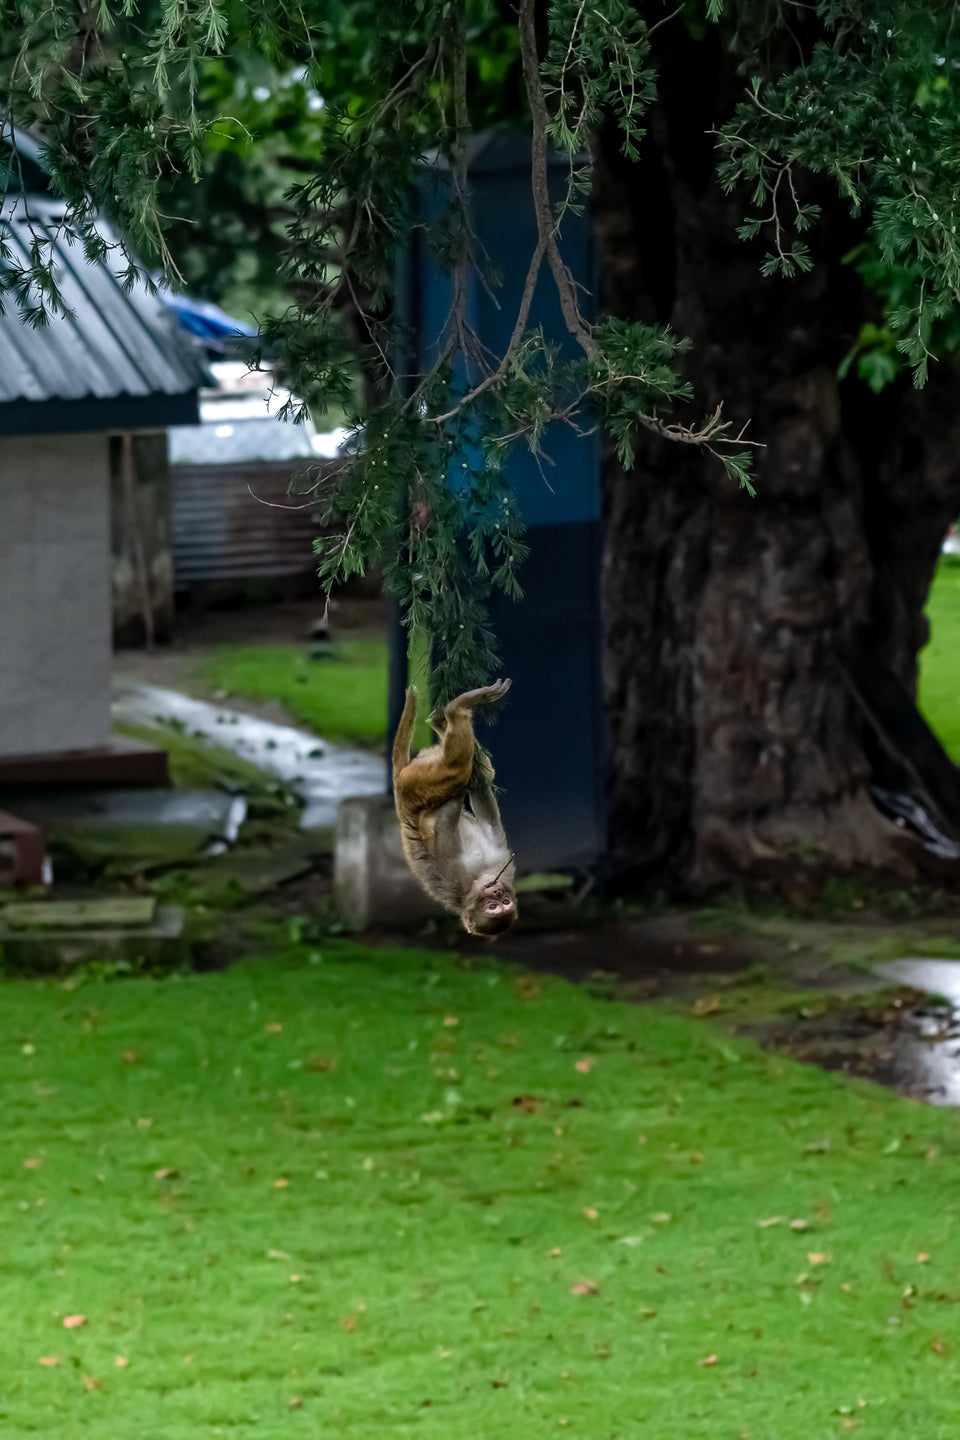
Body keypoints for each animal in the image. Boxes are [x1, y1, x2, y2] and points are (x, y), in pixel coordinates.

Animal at [392, 679, 518, 937]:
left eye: (505, 903)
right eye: (492, 906)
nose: (497, 891)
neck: (482, 875)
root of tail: (400, 787)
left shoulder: (504, 867)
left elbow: (485, 807)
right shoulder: (459, 878)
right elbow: (447, 827)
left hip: (415, 779)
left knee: (466, 769)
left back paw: (451, 716)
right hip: (415, 784)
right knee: (455, 770)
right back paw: (454, 712)